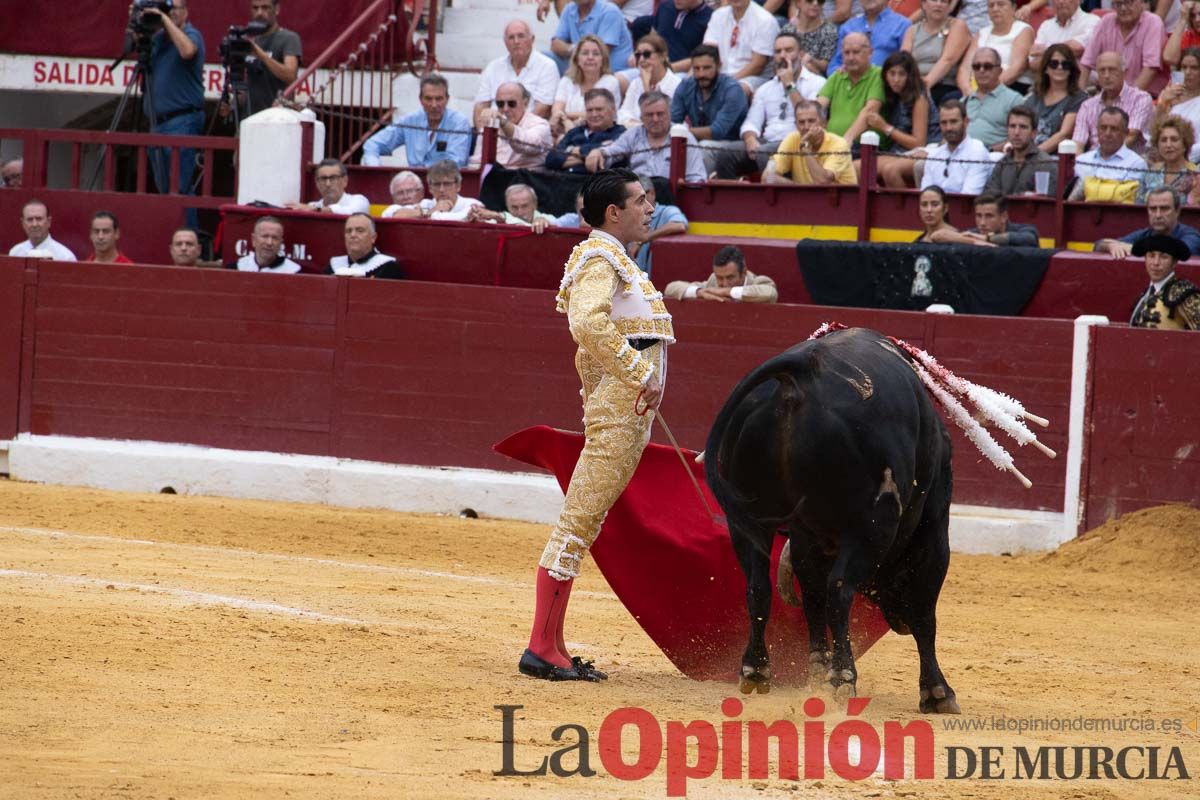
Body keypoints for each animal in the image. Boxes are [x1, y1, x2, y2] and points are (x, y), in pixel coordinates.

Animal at [705, 326, 960, 714]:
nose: (897, 623)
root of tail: (802, 371)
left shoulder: (806, 535)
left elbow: (811, 595)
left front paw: (816, 669)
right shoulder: (931, 530)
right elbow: (924, 610)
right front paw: (938, 692)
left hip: (748, 521)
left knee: (758, 586)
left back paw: (756, 669)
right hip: (871, 528)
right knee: (840, 591)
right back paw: (843, 679)